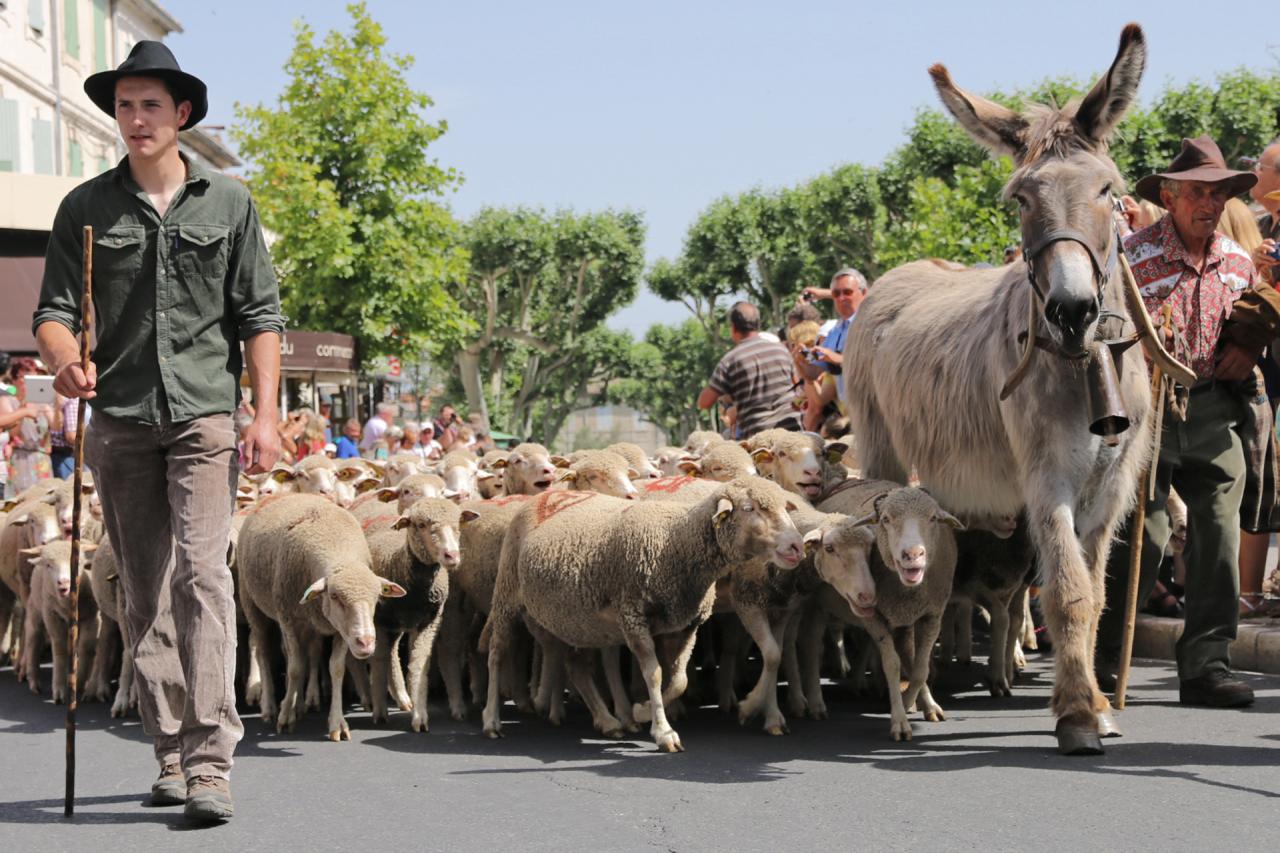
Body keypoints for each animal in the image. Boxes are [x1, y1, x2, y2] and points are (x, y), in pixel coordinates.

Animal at [20, 540, 97, 701]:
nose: (64, 582)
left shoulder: (91, 616)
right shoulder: (52, 615)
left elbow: (85, 646)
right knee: (33, 637)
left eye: (78, 563)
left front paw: (79, 683)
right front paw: (60, 691)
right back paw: (34, 681)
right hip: (35, 606)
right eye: (49, 565)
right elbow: (59, 647)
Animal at [234, 491, 404, 737]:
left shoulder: (341, 630)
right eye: (334, 596)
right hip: (252, 603)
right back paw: (270, 707)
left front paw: (337, 724)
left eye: (376, 597)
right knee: (263, 652)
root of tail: (285, 492)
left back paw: (299, 704)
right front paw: (285, 718)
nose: (365, 642)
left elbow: (336, 668)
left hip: (310, 623)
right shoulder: (289, 619)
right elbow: (295, 668)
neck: (337, 546)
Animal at [368, 494, 478, 727]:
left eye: (458, 524)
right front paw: (380, 712)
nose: (452, 555)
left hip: (397, 625)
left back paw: (403, 698)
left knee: (392, 652)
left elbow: (419, 663)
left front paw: (420, 716)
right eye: (420, 525)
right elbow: (378, 662)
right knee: (385, 655)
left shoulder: (429, 622)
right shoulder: (378, 621)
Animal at [483, 473, 803, 747]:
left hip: (574, 617)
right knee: (497, 654)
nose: (797, 546)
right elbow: (655, 674)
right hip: (507, 595)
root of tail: (542, 496)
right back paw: (491, 720)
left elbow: (679, 680)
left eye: (783, 507)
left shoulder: (685, 625)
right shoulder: (633, 618)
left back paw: (608, 721)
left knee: (576, 666)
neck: (675, 543)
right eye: (750, 508)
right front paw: (663, 731)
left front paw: (642, 710)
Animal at [814, 479, 962, 737]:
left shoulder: (932, 616)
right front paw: (900, 719)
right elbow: (891, 665)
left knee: (906, 656)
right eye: (885, 519)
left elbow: (920, 668)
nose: (912, 554)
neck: (907, 590)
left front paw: (913, 702)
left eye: (933, 518)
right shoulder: (874, 617)